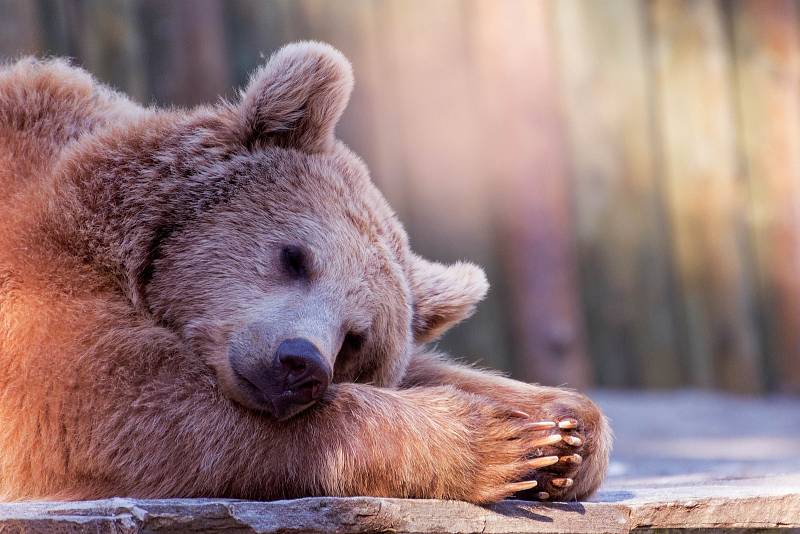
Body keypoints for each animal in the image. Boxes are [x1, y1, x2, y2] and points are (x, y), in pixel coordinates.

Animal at [0, 43, 608, 506]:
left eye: (356, 337)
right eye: (295, 257)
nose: (300, 363)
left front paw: (562, 432)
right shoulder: (39, 286)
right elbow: (117, 407)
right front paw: (496, 440)